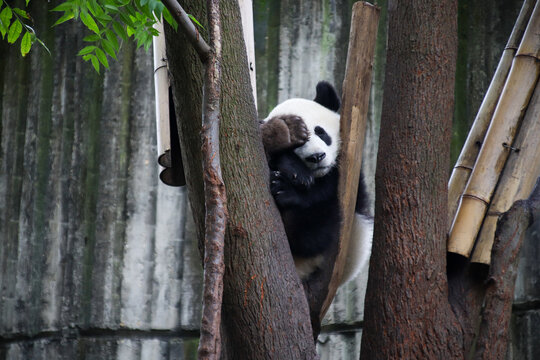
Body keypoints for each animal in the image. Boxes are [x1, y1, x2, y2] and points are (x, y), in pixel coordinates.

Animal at [260, 81, 374, 282]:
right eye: (297, 147)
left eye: (320, 132)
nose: (316, 156)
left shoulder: (348, 177)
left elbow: (324, 192)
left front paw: (289, 186)